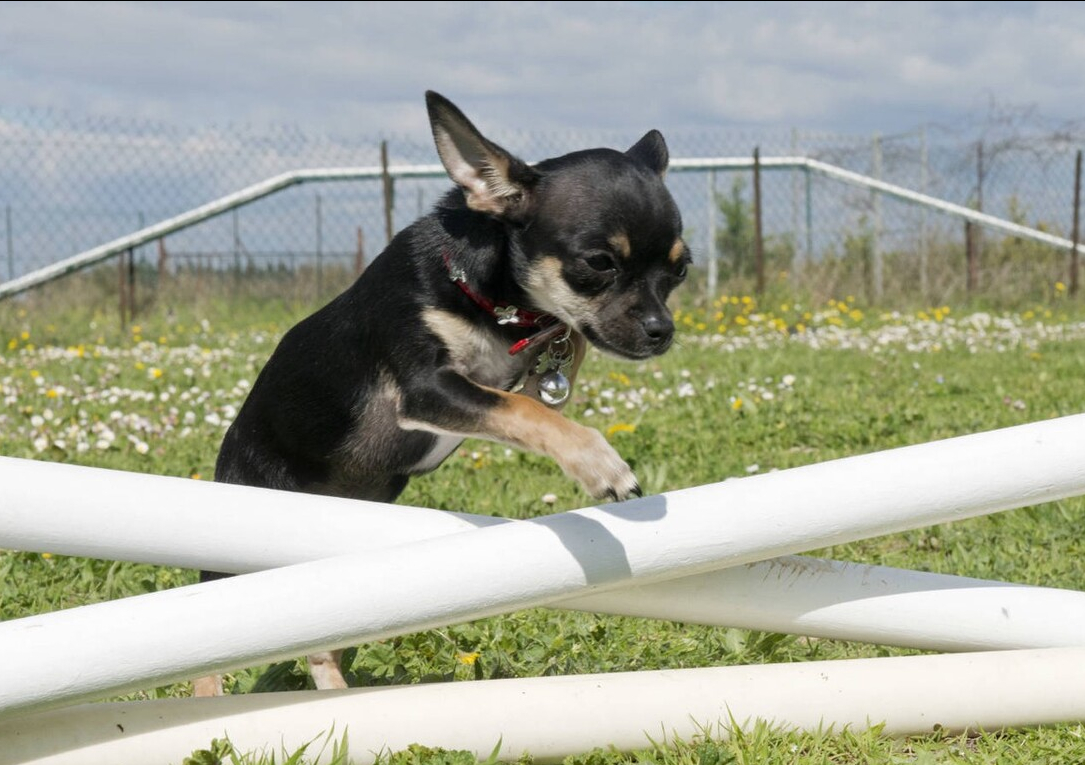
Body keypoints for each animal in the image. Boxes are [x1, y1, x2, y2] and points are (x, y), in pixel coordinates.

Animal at [194, 92, 685, 694]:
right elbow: (523, 409)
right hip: (235, 540)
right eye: (599, 263)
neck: (492, 301)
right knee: (210, 646)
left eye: (681, 270)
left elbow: (541, 384)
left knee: (322, 651)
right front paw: (599, 462)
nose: (663, 331)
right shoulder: (427, 390)